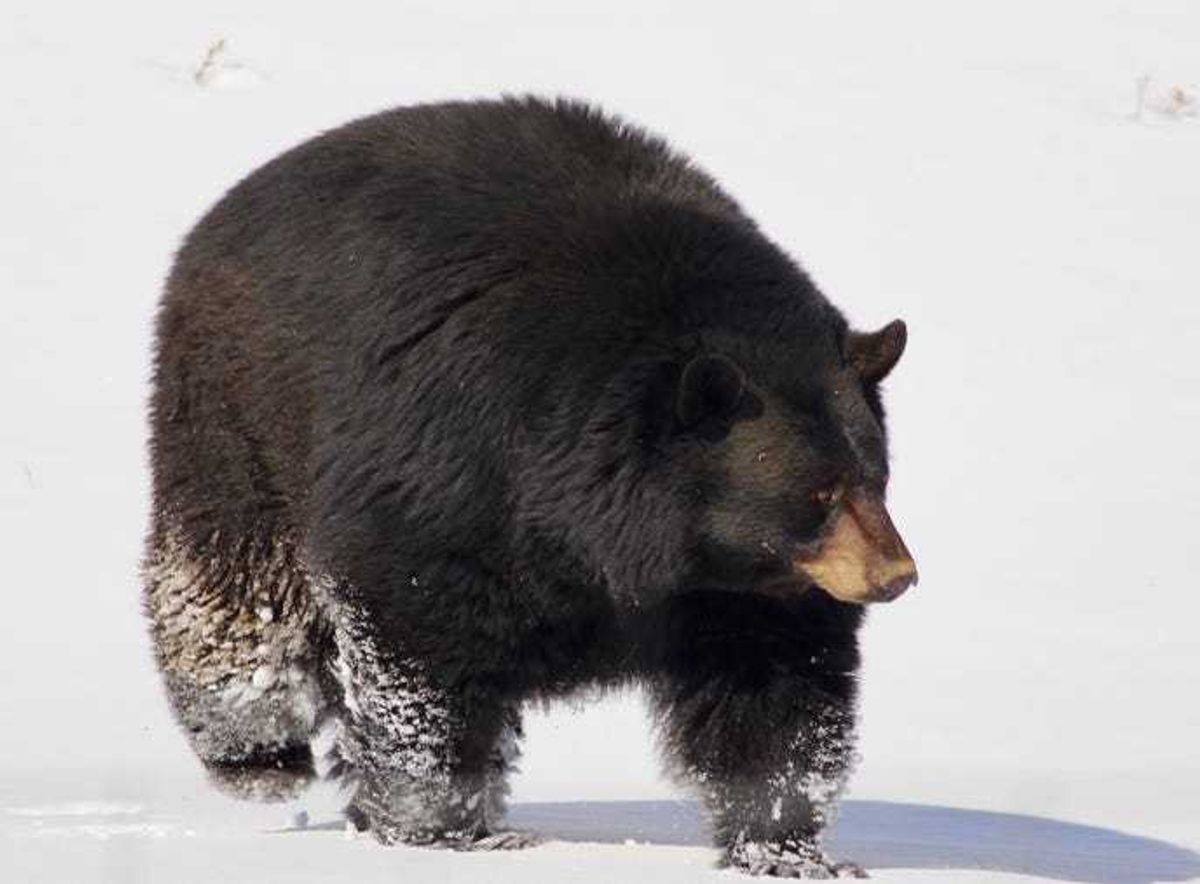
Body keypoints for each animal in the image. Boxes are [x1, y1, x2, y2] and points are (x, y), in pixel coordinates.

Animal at [143, 95, 916, 878]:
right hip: (240, 420)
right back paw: (254, 753)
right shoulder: (446, 473)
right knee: (240, 595)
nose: (897, 574)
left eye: (875, 477)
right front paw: (444, 829)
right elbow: (418, 652)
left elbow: (774, 693)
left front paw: (786, 848)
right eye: (817, 493)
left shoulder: (743, 593)